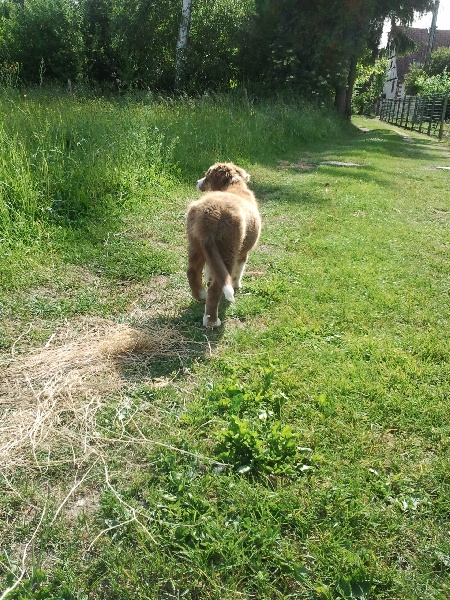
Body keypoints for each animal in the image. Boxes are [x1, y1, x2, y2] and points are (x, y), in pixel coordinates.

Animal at [186, 162, 262, 326]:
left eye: (207, 176)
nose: (196, 182)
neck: (233, 185)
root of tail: (210, 215)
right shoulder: (243, 252)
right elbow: (238, 271)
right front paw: (237, 285)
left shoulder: (211, 255)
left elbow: (210, 270)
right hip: (228, 249)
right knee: (216, 287)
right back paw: (212, 321)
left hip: (196, 244)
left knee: (192, 271)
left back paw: (201, 295)